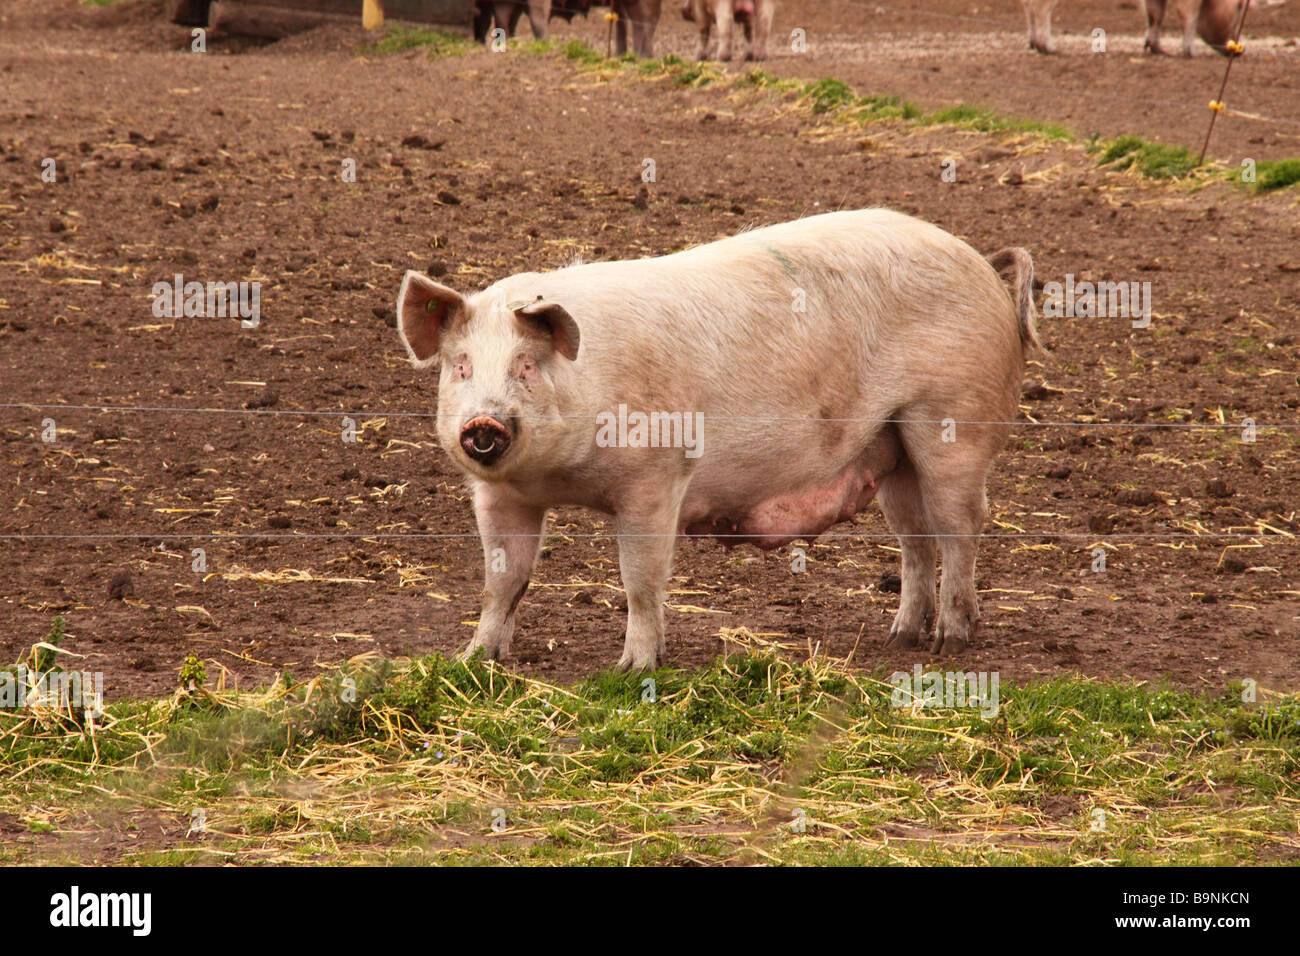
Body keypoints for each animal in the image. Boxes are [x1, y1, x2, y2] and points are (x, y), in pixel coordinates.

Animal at [390, 209, 1040, 671]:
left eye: (526, 365)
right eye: (460, 366)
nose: (484, 424)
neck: (558, 477)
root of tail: (983, 264)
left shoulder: (656, 476)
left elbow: (640, 578)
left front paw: (632, 669)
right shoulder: (500, 496)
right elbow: (503, 579)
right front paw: (474, 660)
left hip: (954, 422)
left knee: (961, 527)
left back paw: (949, 642)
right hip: (891, 446)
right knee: (915, 539)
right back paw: (899, 637)